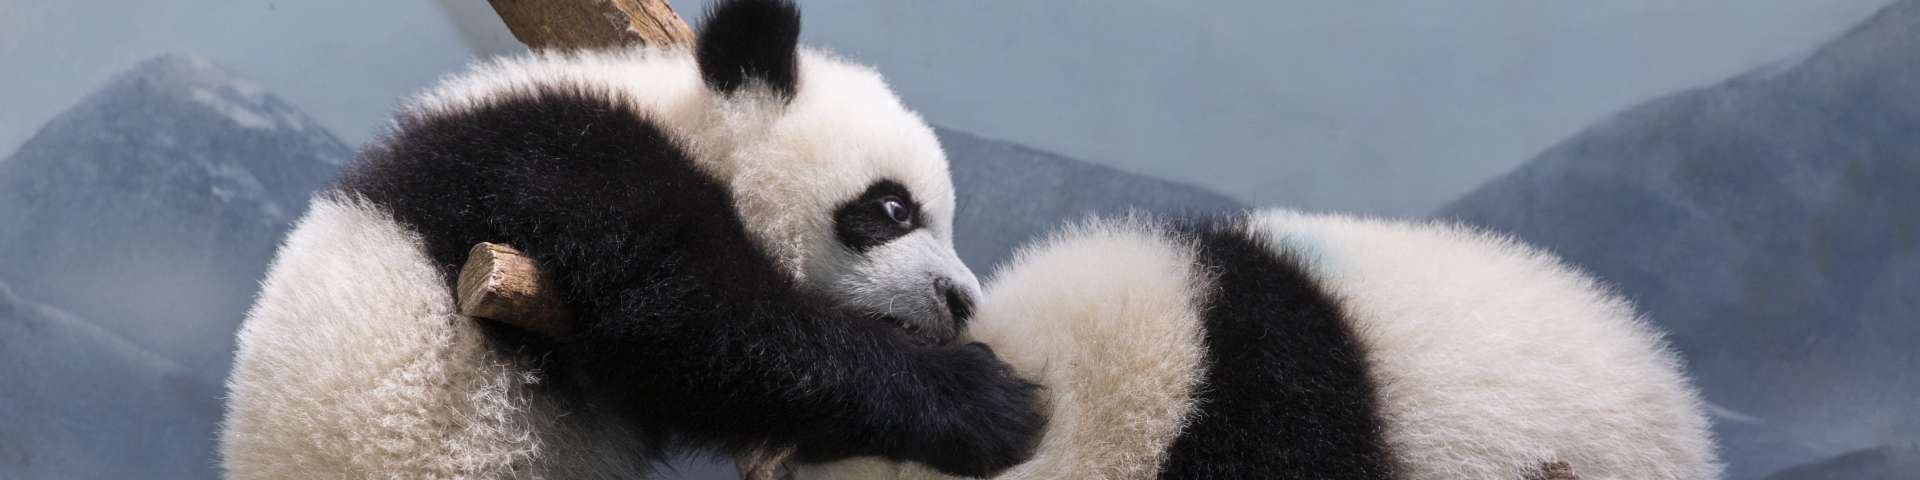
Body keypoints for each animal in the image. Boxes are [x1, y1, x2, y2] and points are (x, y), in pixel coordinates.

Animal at [219, 0, 1042, 478]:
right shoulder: (560, 160)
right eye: (894, 208)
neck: (683, 115)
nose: (961, 299)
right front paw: (985, 401)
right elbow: (689, 321)